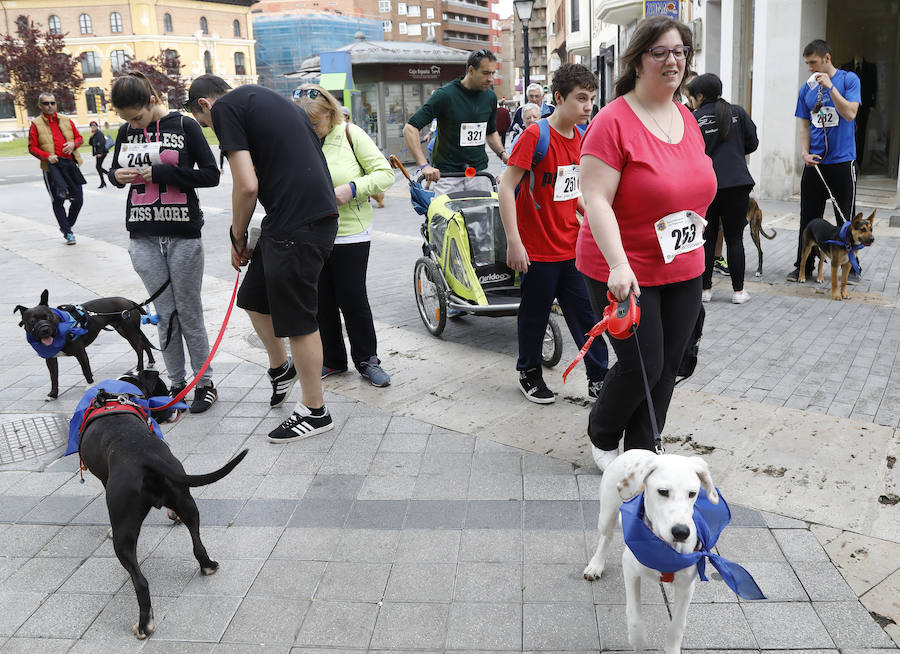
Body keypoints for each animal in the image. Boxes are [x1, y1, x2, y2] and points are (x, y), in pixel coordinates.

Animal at [584, 452, 716, 654]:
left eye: (692, 494)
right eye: (663, 491)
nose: (681, 532)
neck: (664, 547)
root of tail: (634, 451)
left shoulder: (686, 585)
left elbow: (677, 626)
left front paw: (671, 648)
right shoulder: (630, 570)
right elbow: (635, 617)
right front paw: (638, 642)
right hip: (607, 513)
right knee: (606, 536)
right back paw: (596, 565)